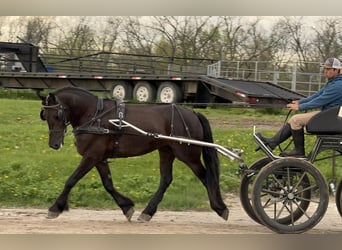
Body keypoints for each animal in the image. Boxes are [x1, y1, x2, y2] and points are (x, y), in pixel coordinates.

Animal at [38, 87, 228, 222]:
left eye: (57, 115)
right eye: (45, 115)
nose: (54, 144)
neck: (94, 116)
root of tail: (193, 113)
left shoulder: (92, 156)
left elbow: (71, 180)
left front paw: (55, 208)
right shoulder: (99, 158)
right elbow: (108, 184)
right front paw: (126, 206)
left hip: (188, 154)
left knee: (206, 177)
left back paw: (220, 207)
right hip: (166, 151)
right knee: (166, 179)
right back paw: (148, 212)